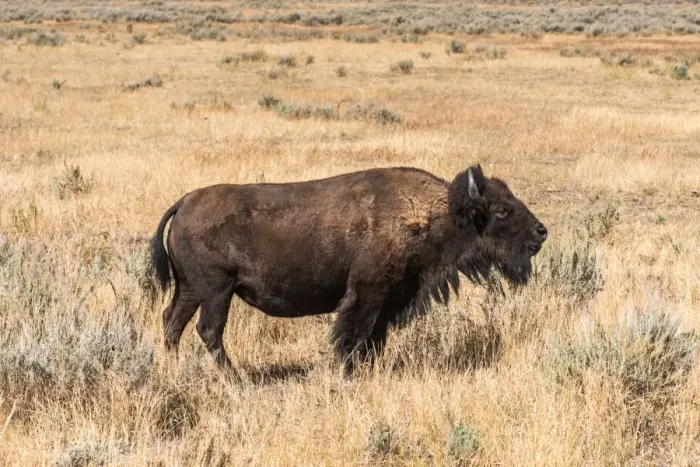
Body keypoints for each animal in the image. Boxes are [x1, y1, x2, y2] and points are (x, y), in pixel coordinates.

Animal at [150, 165, 547, 374]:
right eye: (501, 210)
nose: (541, 231)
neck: (435, 213)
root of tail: (183, 202)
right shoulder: (367, 294)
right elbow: (354, 335)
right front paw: (348, 370)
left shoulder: (391, 300)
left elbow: (374, 338)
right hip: (217, 291)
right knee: (208, 329)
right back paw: (235, 377)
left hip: (191, 289)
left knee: (173, 321)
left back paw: (173, 368)